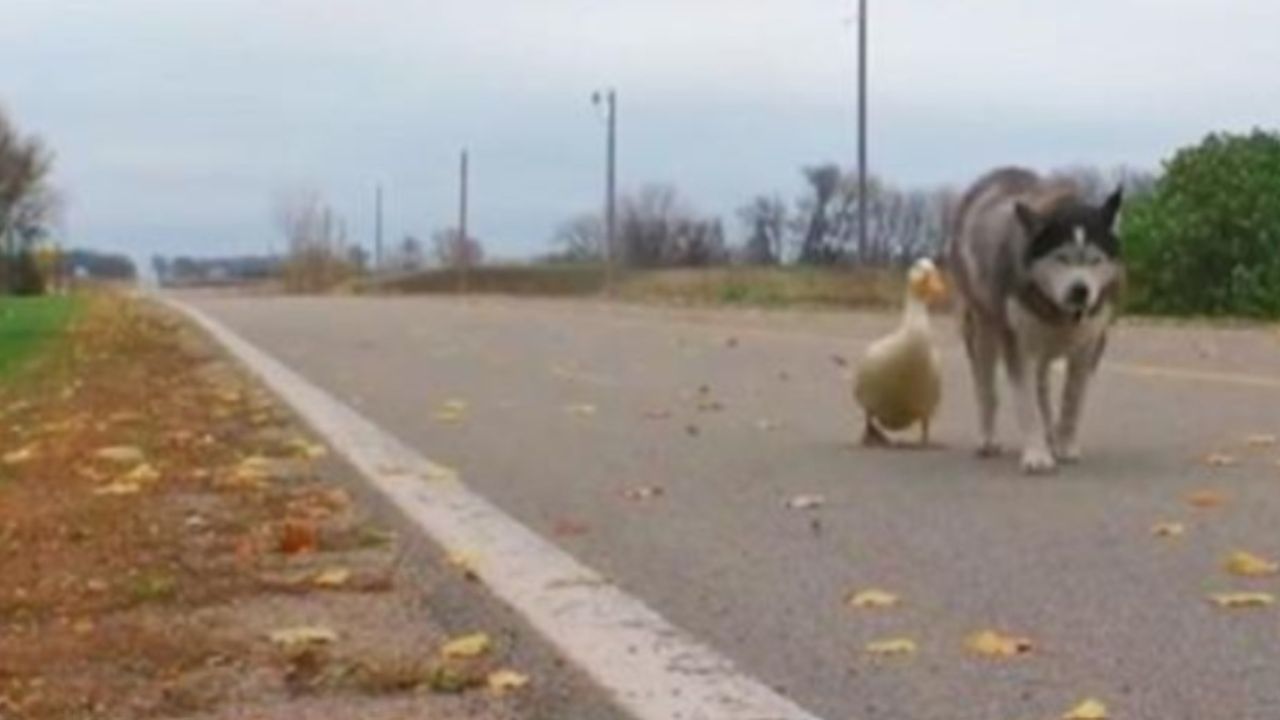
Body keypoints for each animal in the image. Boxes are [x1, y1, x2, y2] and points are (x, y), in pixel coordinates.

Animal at [947, 165, 1126, 474]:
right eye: (1061, 258)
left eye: (1095, 259)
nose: (1080, 290)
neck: (1060, 312)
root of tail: (997, 174)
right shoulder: (1018, 345)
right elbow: (1026, 403)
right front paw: (1036, 455)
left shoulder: (1090, 344)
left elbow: (1073, 399)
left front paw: (1065, 445)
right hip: (982, 327)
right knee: (986, 388)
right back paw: (987, 438)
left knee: (1042, 387)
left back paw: (1050, 434)